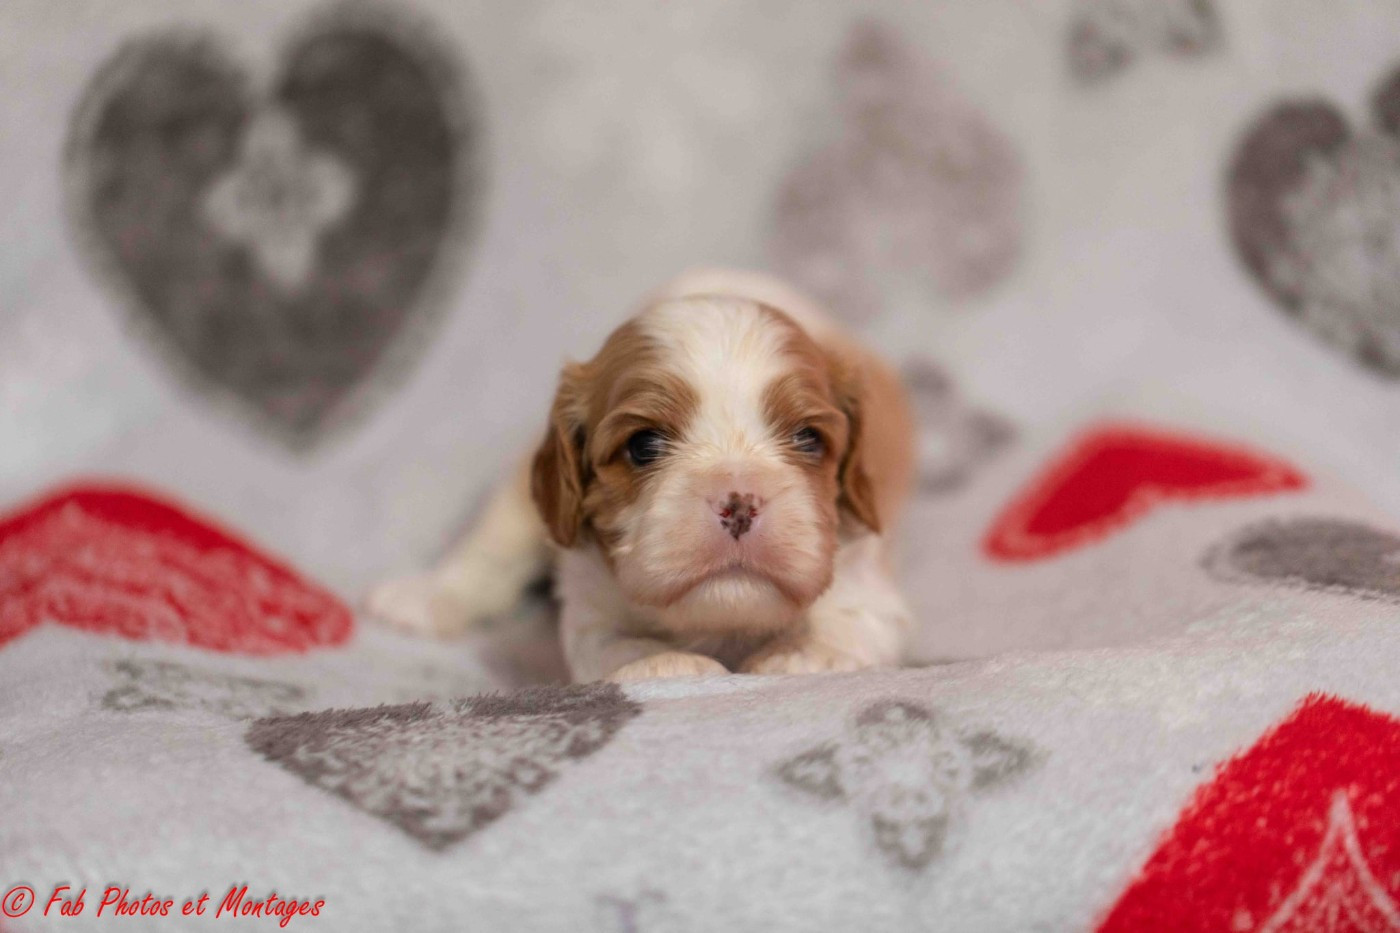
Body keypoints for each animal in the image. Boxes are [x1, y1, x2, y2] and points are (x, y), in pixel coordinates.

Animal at [367, 269, 915, 683]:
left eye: (808, 439)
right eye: (644, 445)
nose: (738, 502)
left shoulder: (868, 581)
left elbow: (849, 625)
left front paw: (801, 655)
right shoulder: (591, 604)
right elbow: (618, 644)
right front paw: (667, 664)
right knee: (492, 546)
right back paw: (423, 598)